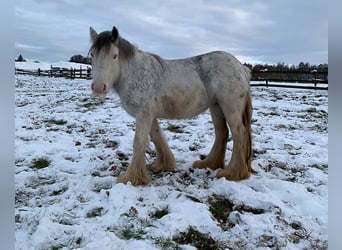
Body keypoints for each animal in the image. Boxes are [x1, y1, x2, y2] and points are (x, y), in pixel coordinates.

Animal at [89, 25, 252, 186]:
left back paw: (233, 173)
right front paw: (163, 164)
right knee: (221, 132)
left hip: (230, 108)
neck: (134, 73)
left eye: (114, 55)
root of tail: (241, 67)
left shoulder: (143, 114)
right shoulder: (150, 115)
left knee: (239, 133)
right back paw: (209, 164)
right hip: (216, 107)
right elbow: (157, 137)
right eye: (92, 55)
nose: (98, 88)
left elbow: (139, 142)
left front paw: (131, 178)